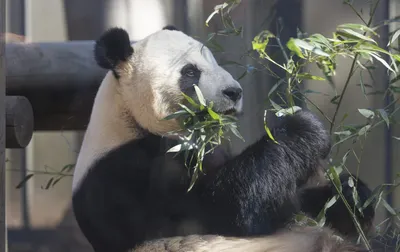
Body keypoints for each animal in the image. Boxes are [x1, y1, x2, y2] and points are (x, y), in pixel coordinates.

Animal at [70, 24, 374, 252]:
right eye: (190, 71)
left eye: (214, 62)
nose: (234, 92)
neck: (131, 120)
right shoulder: (127, 174)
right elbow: (228, 209)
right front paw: (304, 129)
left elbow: (295, 201)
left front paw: (351, 195)